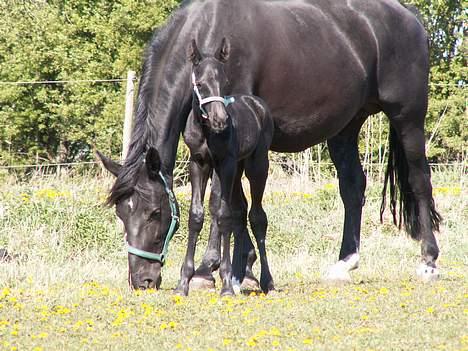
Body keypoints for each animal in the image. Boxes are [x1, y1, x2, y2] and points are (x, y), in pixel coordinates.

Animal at [176, 39, 274, 296]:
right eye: (200, 84)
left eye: (224, 83)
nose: (221, 121)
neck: (206, 131)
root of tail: (257, 103)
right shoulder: (199, 163)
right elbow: (197, 215)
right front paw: (183, 282)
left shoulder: (225, 164)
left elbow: (222, 215)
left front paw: (226, 284)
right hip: (238, 169)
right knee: (241, 212)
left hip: (256, 166)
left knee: (257, 216)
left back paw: (267, 281)